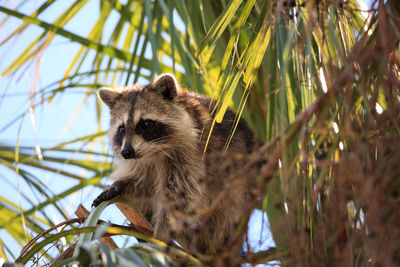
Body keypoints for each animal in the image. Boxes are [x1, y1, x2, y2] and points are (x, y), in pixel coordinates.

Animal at [92, 74, 258, 255]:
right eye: (122, 129)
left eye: (146, 124)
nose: (126, 152)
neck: (155, 152)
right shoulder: (142, 161)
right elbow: (145, 186)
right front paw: (119, 185)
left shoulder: (192, 153)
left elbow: (180, 198)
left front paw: (161, 236)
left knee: (227, 210)